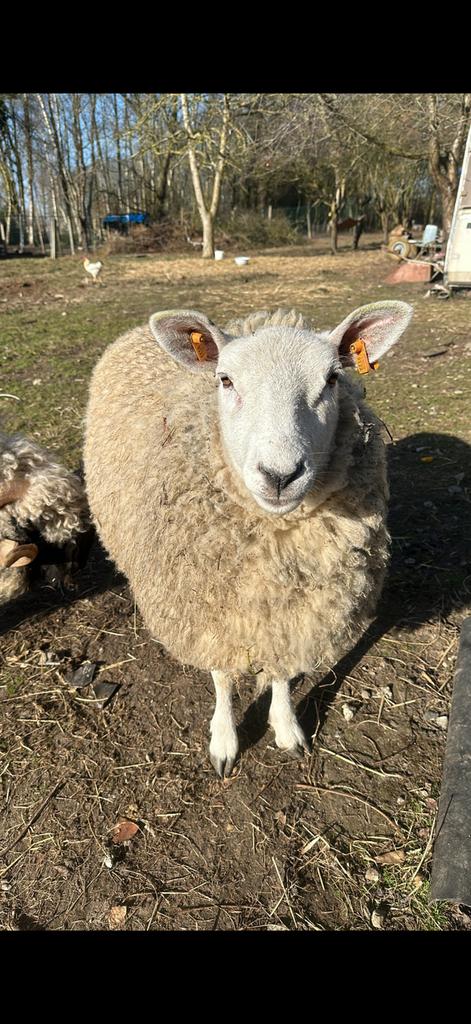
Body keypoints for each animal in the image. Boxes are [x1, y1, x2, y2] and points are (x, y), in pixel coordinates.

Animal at [84, 301, 413, 776]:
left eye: (332, 379)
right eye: (225, 379)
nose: (280, 475)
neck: (273, 550)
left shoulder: (292, 610)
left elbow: (281, 670)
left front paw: (286, 726)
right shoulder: (211, 609)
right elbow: (222, 676)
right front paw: (224, 739)